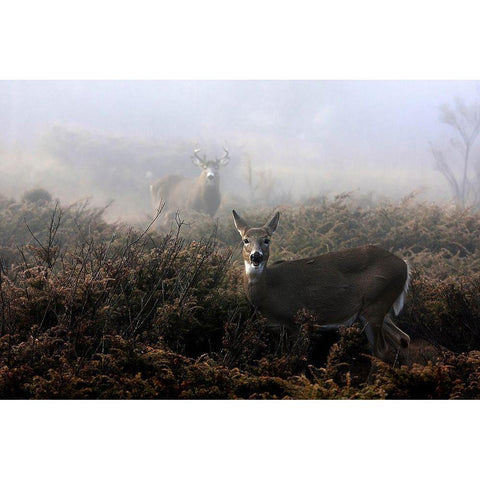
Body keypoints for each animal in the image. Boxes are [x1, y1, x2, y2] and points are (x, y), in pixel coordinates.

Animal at [232, 208, 408, 362]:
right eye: (245, 240)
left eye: (267, 240)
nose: (256, 256)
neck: (270, 288)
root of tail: (405, 265)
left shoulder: (298, 321)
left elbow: (298, 357)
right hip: (376, 309)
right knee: (403, 338)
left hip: (376, 303)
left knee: (381, 350)